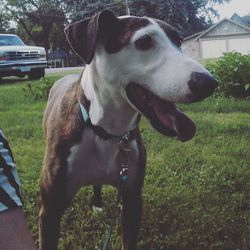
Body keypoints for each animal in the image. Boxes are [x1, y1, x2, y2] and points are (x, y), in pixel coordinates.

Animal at [38, 9, 217, 250]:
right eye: (143, 41)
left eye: (178, 42)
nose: (209, 83)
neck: (106, 130)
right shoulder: (50, 211)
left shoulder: (132, 199)